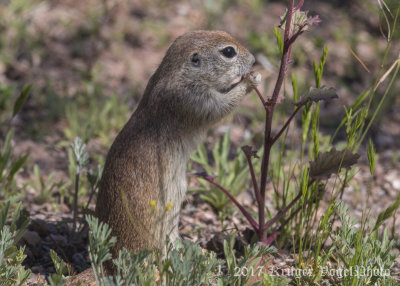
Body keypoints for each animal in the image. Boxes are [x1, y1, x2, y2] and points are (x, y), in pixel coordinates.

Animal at [69, 30, 260, 282]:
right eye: (229, 51)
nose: (254, 58)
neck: (178, 72)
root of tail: (107, 264)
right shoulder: (193, 99)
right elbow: (222, 105)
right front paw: (251, 79)